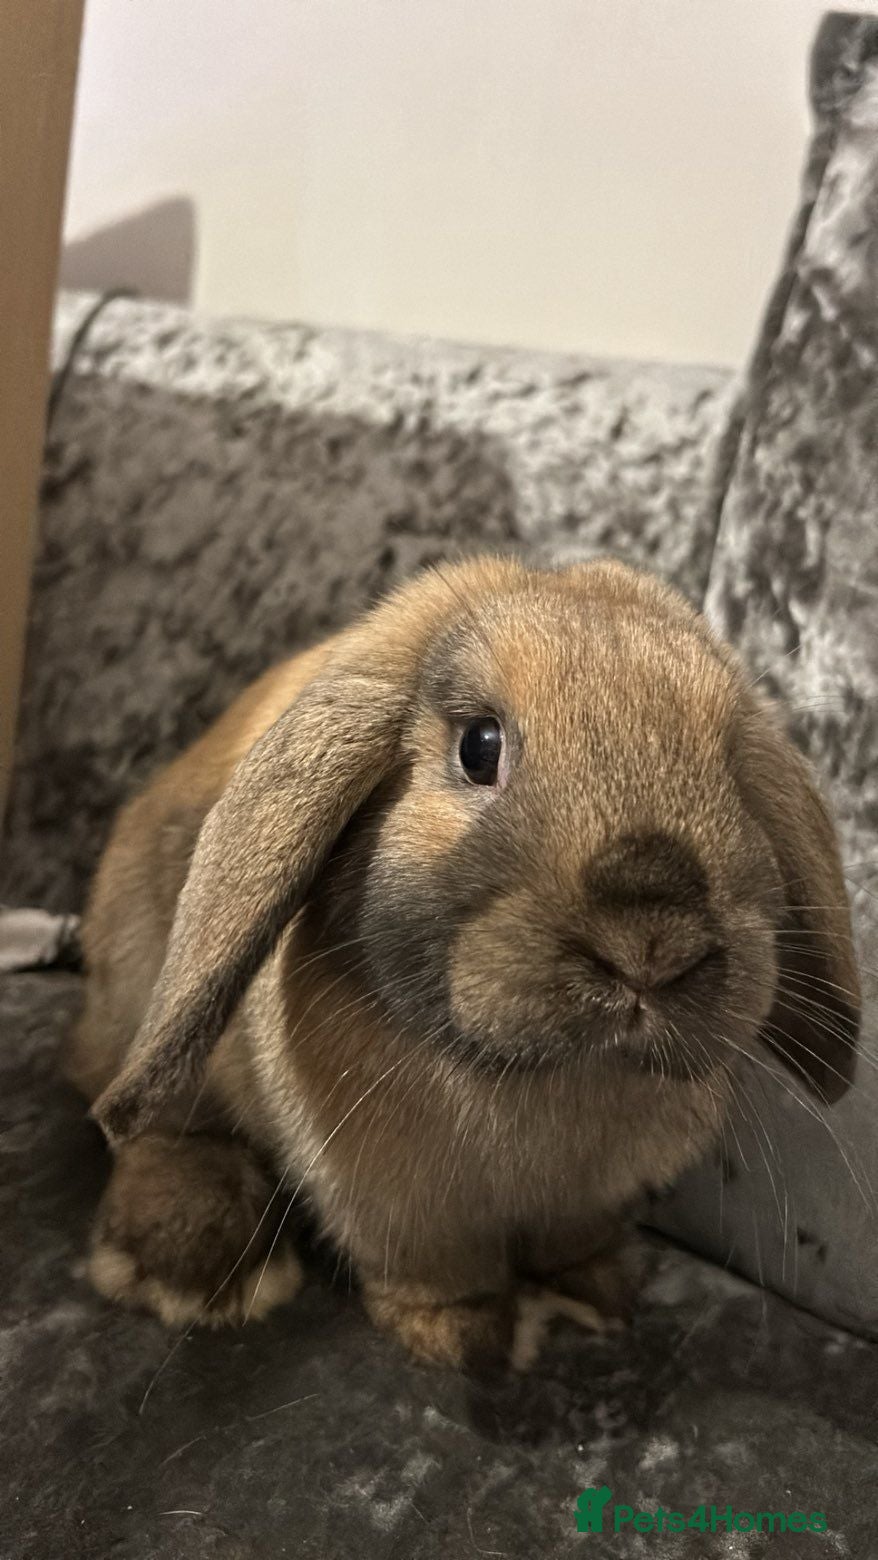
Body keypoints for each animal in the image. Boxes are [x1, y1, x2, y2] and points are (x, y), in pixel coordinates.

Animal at [67, 555, 860, 1369]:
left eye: (731, 771)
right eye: (480, 747)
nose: (652, 941)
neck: (548, 1077)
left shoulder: (589, 1201)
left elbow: (574, 1244)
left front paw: (597, 1294)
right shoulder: (397, 1207)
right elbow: (440, 1272)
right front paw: (464, 1340)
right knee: (157, 1127)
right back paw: (197, 1268)